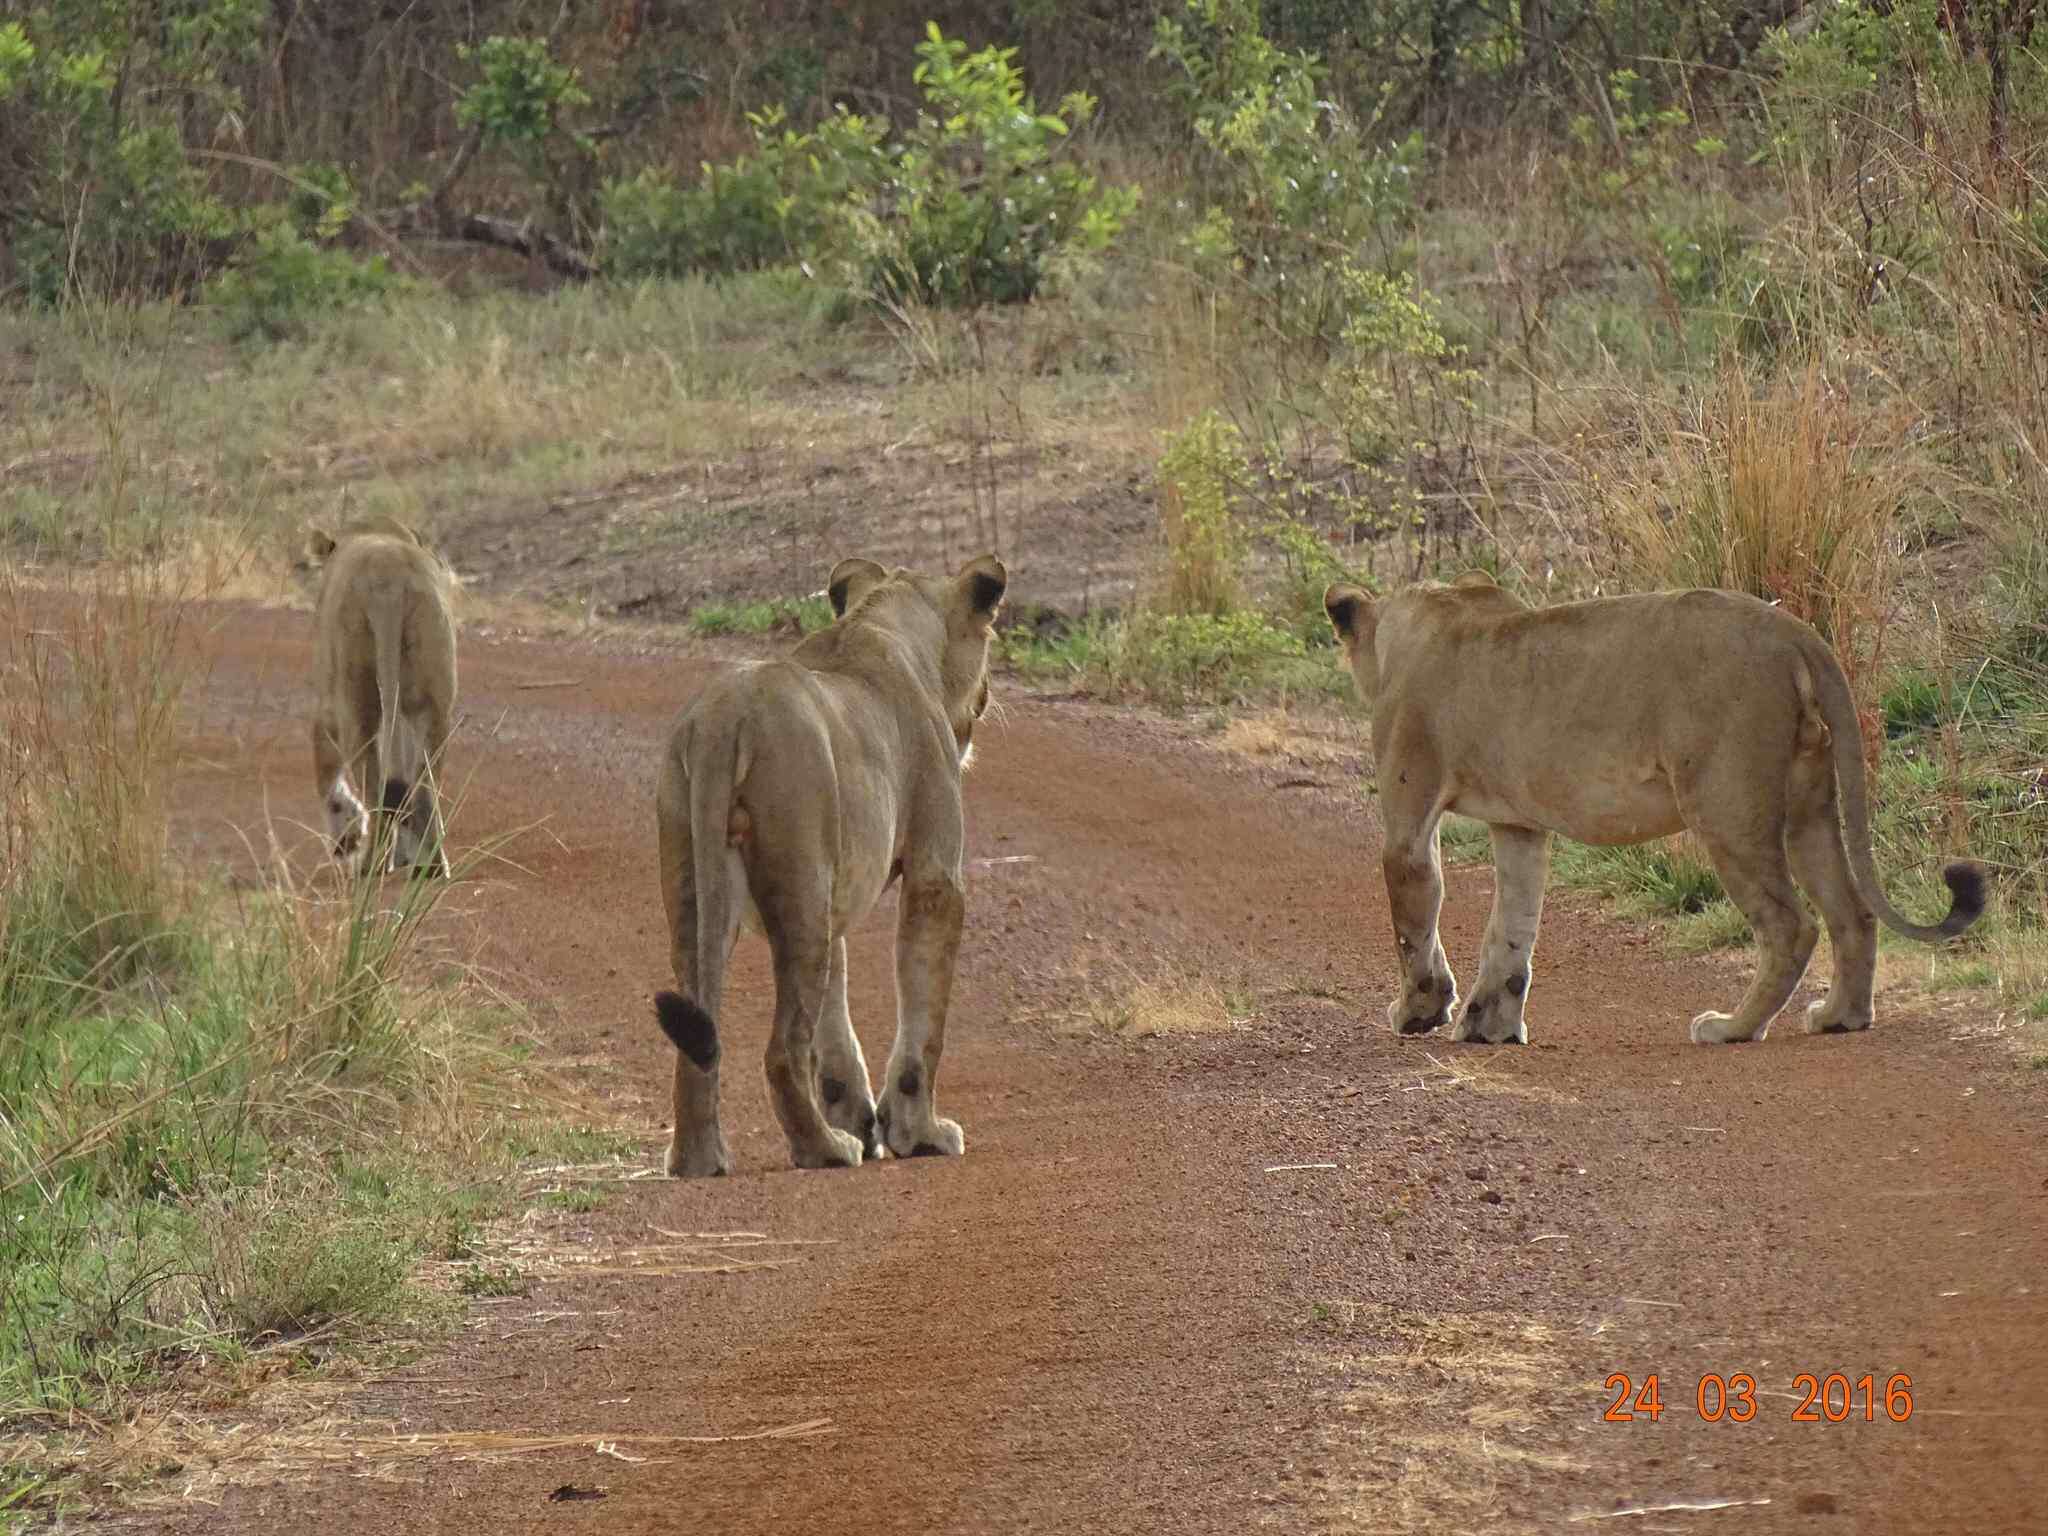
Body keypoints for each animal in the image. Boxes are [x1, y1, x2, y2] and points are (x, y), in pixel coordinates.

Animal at [309, 518, 458, 876]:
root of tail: (388, 579)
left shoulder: (328, 702)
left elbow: (324, 765)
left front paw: (346, 837)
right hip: (433, 698)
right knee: (422, 787)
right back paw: (432, 866)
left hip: (355, 696)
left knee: (376, 786)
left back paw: (370, 865)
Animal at [651, 552, 1003, 1179]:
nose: (987, 695)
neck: (888, 622)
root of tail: (723, 717)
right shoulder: (936, 872)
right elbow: (924, 1017)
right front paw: (919, 1135)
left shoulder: (834, 887)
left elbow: (836, 1028)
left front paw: (863, 1120)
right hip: (799, 887)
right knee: (782, 1050)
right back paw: (824, 1149)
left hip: (706, 881)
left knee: (698, 1028)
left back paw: (700, 1159)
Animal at [1318, 573, 1974, 1056]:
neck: (1420, 617)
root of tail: (1793, 630)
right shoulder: (1520, 826)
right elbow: (1511, 929)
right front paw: (1491, 1026)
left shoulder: (1409, 814)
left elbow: (1414, 919)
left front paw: (1418, 1010)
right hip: (1810, 803)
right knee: (1851, 912)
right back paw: (1841, 1017)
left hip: (1726, 806)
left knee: (1792, 926)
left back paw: (1731, 1028)